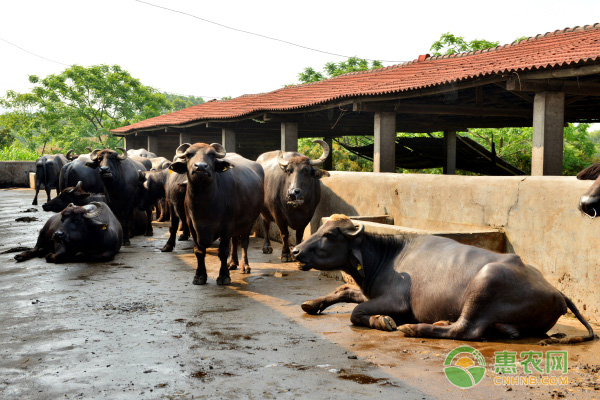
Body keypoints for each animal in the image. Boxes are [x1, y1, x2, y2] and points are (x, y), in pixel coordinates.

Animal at [169, 143, 262, 284]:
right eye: (188, 154)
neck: (204, 205)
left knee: (244, 242)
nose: (200, 166)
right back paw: (232, 263)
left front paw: (224, 276)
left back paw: (244, 266)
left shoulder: (227, 226)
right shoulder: (193, 226)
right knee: (235, 241)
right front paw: (200, 276)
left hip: (249, 221)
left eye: (212, 155)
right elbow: (199, 251)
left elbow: (223, 251)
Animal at [292, 214, 596, 346]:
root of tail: (557, 292)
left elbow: (357, 312)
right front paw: (311, 303)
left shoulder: (398, 301)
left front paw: (384, 321)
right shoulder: (368, 291)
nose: (296, 251)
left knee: (465, 330)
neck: (385, 257)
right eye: (319, 229)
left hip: (485, 281)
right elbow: (344, 289)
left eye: (330, 235)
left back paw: (415, 328)